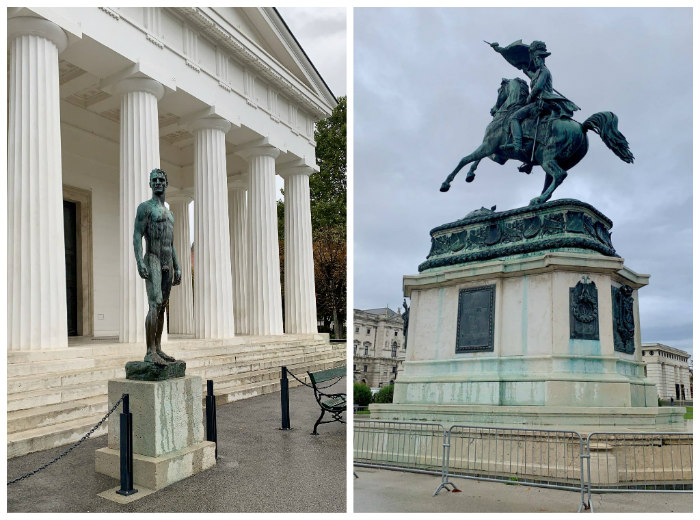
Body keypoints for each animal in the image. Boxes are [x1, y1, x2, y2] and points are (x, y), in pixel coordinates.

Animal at [442, 77, 636, 205]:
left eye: (498, 91)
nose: (492, 110)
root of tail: (582, 127)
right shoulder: (498, 154)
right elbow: (477, 160)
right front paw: (470, 175)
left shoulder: (488, 146)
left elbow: (465, 159)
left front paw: (446, 183)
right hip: (551, 160)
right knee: (552, 180)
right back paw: (539, 200)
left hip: (548, 158)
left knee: (559, 175)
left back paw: (539, 199)